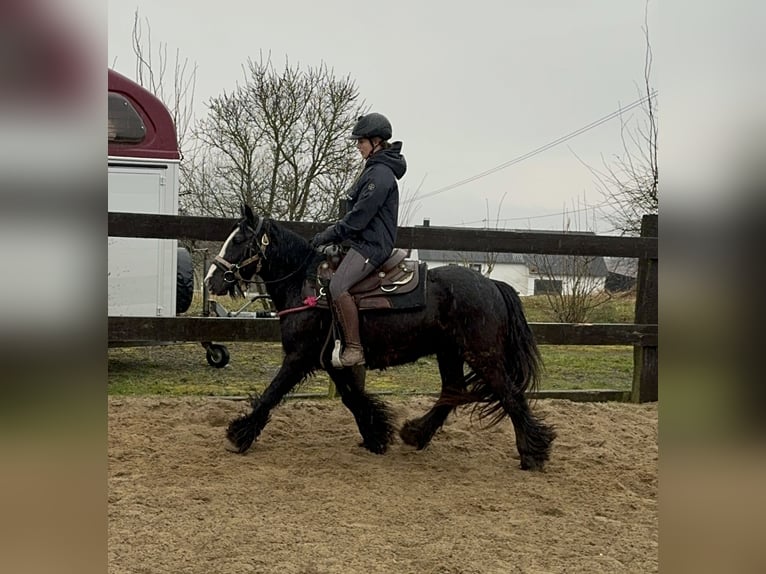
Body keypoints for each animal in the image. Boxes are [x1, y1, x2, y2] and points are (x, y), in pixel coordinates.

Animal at [204, 205, 556, 470]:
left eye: (239, 240)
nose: (211, 280)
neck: (306, 284)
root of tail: (492, 285)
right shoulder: (332, 361)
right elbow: (352, 398)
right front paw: (376, 434)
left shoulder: (299, 357)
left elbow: (272, 393)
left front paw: (239, 433)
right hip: (450, 353)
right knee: (453, 392)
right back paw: (416, 433)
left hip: (482, 354)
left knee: (509, 395)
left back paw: (532, 452)